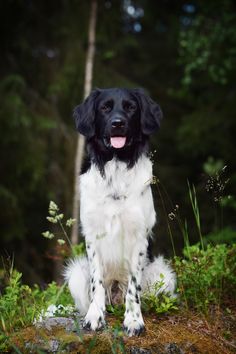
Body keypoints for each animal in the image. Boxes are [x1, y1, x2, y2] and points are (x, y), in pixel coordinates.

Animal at [65, 87, 176, 336]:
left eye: (131, 107)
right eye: (105, 107)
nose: (118, 123)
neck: (116, 168)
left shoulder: (138, 237)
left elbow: (134, 288)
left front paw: (134, 320)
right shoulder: (93, 236)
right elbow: (96, 283)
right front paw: (95, 317)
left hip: (163, 275)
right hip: (76, 274)